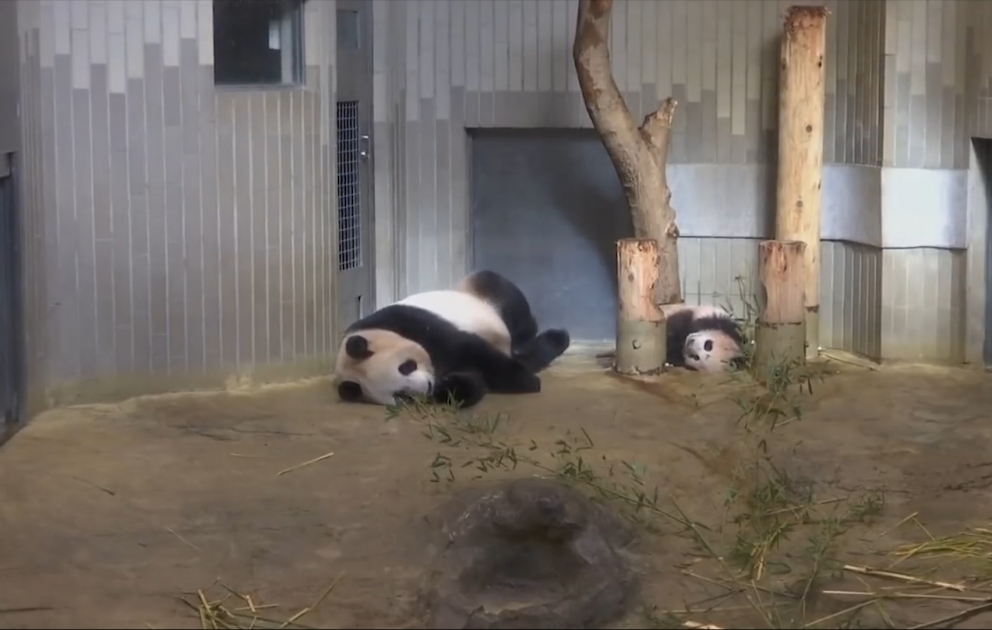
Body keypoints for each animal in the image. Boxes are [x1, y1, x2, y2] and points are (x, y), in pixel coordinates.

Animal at [334, 270, 571, 409]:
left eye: (406, 367)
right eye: (401, 395)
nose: (427, 386)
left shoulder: (415, 325)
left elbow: (472, 351)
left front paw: (527, 381)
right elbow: (469, 383)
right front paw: (454, 386)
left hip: (484, 298)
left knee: (516, 316)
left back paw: (555, 337)